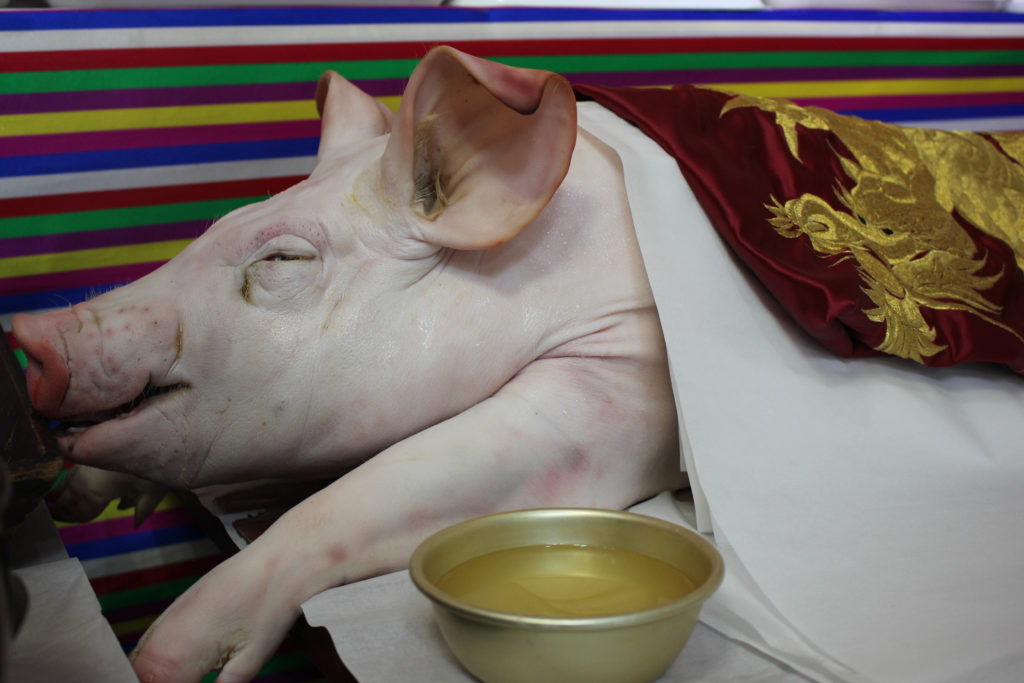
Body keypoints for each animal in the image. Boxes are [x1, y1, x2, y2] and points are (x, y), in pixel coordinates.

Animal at [10, 47, 685, 682]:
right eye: (216, 226)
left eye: (282, 259)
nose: (27, 334)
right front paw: (75, 503)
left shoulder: (627, 384)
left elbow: (373, 484)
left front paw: (157, 662)